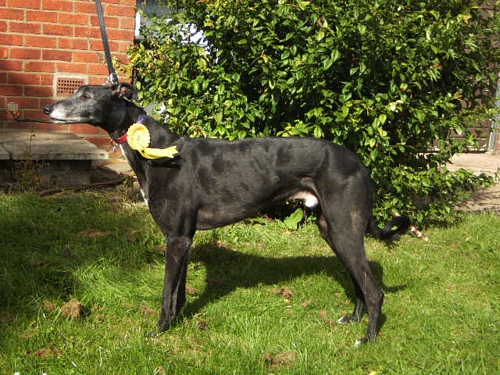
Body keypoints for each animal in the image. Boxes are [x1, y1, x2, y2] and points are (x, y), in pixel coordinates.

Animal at [44, 83, 410, 346]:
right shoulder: (185, 238)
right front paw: (176, 324)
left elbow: (166, 293)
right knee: (360, 282)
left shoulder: (175, 238)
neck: (155, 150)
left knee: (374, 290)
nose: (48, 108)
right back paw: (353, 319)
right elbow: (178, 292)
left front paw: (158, 331)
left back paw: (368, 338)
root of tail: (359, 163)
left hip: (344, 228)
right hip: (332, 228)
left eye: (86, 95)